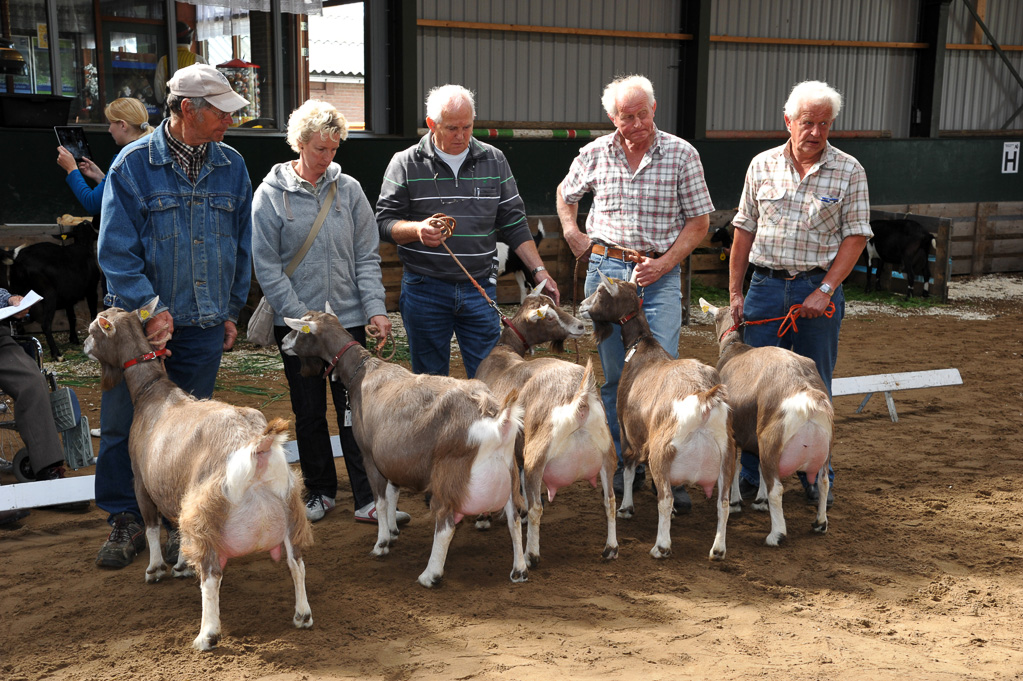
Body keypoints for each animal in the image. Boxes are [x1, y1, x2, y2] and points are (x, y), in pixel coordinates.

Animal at [83, 300, 310, 646]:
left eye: (95, 329)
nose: (83, 345)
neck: (152, 391)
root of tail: (256, 446)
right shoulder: (179, 490)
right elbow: (177, 526)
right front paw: (180, 564)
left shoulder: (141, 481)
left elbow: (152, 527)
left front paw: (155, 569)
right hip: (288, 509)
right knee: (296, 563)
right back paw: (302, 615)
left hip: (208, 512)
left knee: (212, 575)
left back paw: (207, 635)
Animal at [282, 304, 527, 584]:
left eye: (299, 329)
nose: (283, 342)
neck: (364, 372)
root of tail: (493, 414)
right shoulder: (391, 457)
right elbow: (392, 493)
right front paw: (392, 529)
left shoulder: (370, 456)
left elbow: (380, 500)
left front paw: (381, 543)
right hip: (509, 472)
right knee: (514, 517)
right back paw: (519, 569)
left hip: (449, 473)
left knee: (446, 522)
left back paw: (430, 575)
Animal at [472, 282, 613, 568]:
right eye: (548, 316)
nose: (580, 325)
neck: (504, 354)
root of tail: (579, 397)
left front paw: (484, 517)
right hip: (607, 452)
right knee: (610, 501)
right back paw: (610, 548)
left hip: (537, 453)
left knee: (538, 506)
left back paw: (531, 555)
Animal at [576, 274, 736, 560]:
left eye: (601, 291)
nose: (581, 306)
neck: (642, 348)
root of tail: (704, 397)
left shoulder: (628, 430)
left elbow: (629, 467)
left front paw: (626, 507)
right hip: (727, 453)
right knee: (723, 502)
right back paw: (718, 549)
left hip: (662, 451)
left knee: (666, 497)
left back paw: (661, 547)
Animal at [699, 298, 834, 548]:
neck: (734, 348)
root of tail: (806, 389)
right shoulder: (753, 432)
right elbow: (757, 467)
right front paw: (759, 501)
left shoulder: (733, 432)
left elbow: (736, 467)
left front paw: (735, 502)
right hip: (821, 444)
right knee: (822, 481)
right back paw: (820, 522)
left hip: (771, 437)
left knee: (777, 488)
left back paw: (776, 535)